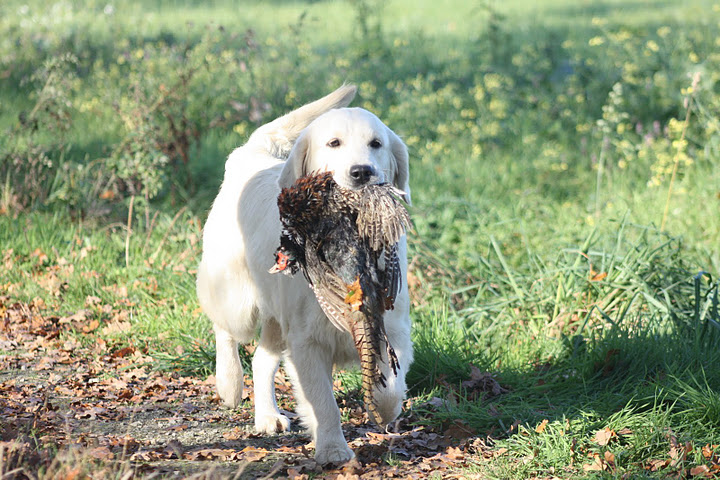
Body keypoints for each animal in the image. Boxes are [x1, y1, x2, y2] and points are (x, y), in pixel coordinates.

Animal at [197, 86, 414, 464]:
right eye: (333, 143)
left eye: (376, 143)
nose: (362, 172)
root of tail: (248, 154)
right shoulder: (307, 341)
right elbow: (323, 402)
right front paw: (332, 449)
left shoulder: (392, 326)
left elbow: (390, 386)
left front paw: (384, 408)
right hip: (237, 298)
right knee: (225, 330)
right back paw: (229, 384)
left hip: (276, 316)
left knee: (261, 358)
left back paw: (267, 415)